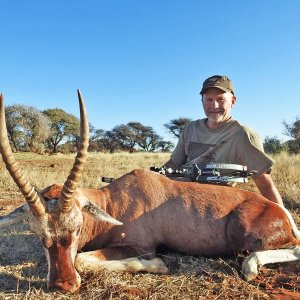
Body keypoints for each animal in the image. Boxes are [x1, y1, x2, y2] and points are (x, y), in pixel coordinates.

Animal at [0, 91, 298, 292]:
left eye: (76, 227)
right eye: (39, 234)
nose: (63, 284)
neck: (113, 202)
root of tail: (281, 213)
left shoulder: (141, 246)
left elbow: (83, 260)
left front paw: (158, 266)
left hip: (244, 233)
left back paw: (250, 267)